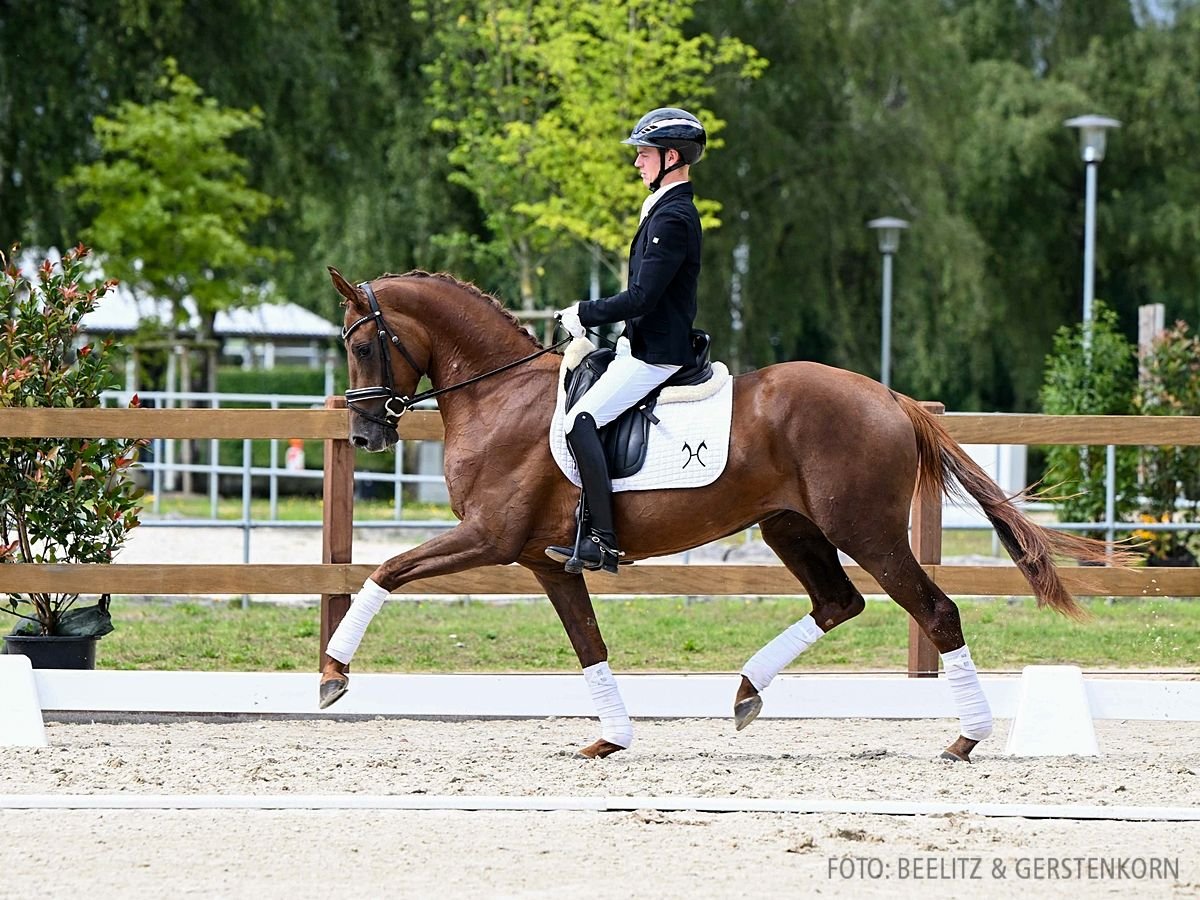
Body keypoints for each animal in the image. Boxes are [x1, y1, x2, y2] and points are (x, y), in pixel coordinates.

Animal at [321, 266, 1123, 763]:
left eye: (361, 344)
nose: (365, 435)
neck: (499, 395)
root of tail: (890, 397)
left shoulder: (489, 537)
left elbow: (387, 570)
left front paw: (333, 673)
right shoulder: (543, 561)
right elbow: (589, 644)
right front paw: (611, 738)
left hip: (865, 531)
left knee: (935, 610)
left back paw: (966, 738)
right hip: (790, 526)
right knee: (839, 602)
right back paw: (745, 692)